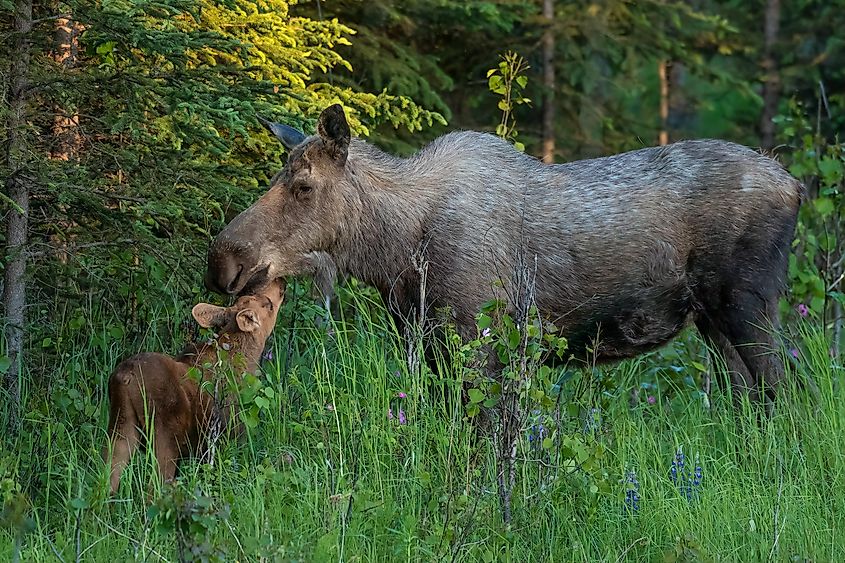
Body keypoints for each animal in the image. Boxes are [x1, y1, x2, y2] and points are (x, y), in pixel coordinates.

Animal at [103, 278, 284, 494]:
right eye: (268, 304)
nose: (281, 283)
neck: (246, 362)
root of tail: (124, 377)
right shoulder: (229, 434)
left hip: (121, 426)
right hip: (164, 437)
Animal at [208, 104, 800, 406]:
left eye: (303, 185)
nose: (223, 263)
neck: (395, 252)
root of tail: (795, 186)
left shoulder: (481, 336)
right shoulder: (428, 341)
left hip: (748, 302)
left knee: (789, 390)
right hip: (713, 320)